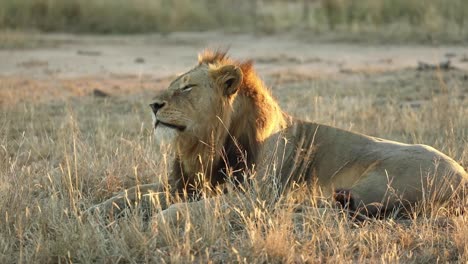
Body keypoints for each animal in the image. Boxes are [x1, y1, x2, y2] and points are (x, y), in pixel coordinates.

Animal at [92, 49, 468, 221]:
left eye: (186, 88)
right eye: (173, 86)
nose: (153, 105)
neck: (204, 146)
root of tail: (463, 176)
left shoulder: (254, 196)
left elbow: (197, 208)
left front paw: (163, 218)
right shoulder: (184, 184)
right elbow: (133, 192)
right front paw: (97, 209)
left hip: (375, 184)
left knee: (341, 209)